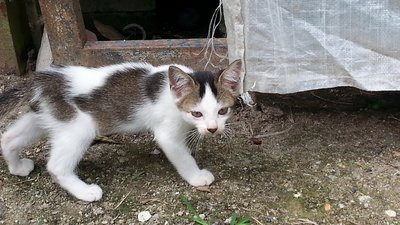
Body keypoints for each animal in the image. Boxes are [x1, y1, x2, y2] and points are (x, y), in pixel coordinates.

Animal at [1, 59, 242, 202]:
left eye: (222, 111)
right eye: (197, 113)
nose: (213, 129)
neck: (172, 95)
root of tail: (41, 80)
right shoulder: (167, 134)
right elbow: (182, 156)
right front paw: (197, 176)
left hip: (44, 117)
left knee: (8, 137)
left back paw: (17, 167)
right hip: (78, 127)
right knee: (56, 166)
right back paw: (85, 192)